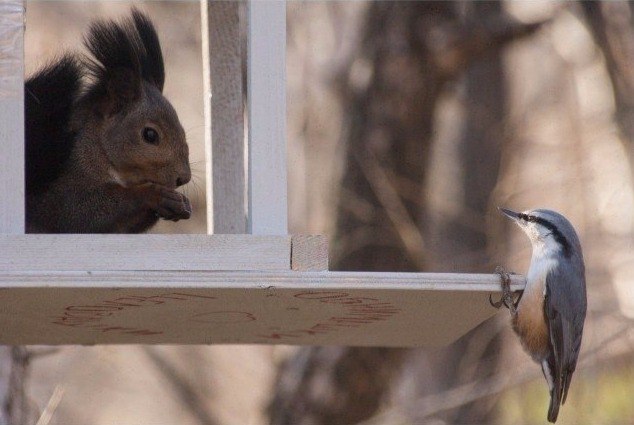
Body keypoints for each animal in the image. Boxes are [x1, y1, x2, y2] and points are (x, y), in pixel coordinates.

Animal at [25, 8, 193, 232]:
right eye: (150, 135)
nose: (184, 178)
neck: (96, 147)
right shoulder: (63, 191)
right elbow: (82, 212)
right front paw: (153, 195)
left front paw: (180, 202)